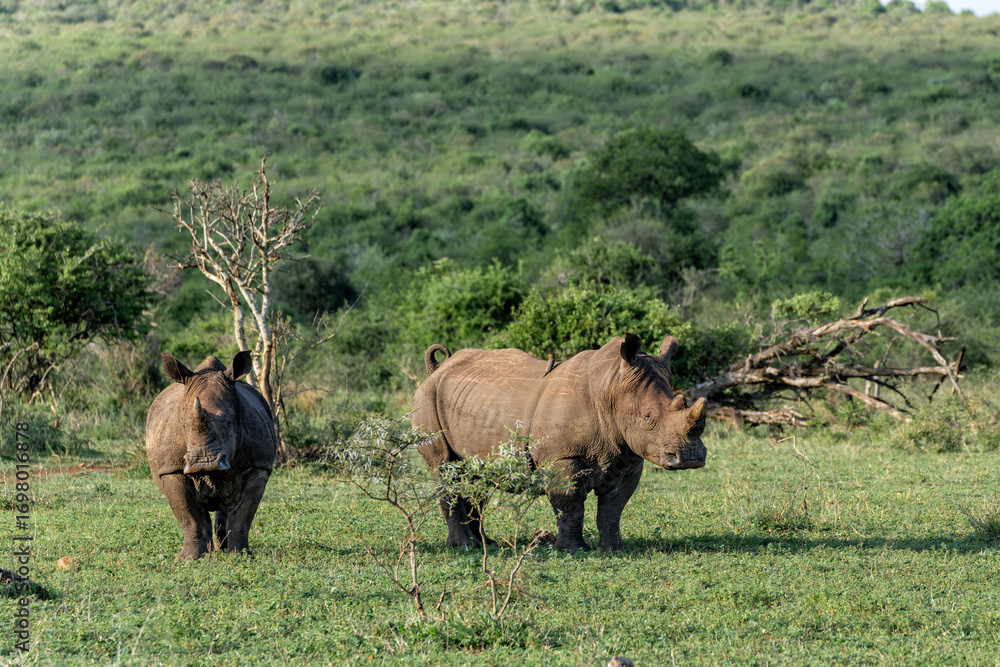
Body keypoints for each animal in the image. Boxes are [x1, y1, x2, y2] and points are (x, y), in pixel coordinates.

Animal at [145, 351, 276, 561]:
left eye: (230, 423)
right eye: (183, 425)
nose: (204, 462)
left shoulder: (258, 466)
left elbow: (242, 515)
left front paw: (240, 556)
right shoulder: (171, 469)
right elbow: (189, 516)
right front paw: (190, 559)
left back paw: (222, 550)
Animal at [412, 333, 708, 552]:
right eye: (648, 417)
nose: (691, 457)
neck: (611, 386)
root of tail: (437, 370)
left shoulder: (629, 455)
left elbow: (614, 507)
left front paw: (614, 550)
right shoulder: (561, 455)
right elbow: (570, 502)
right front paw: (572, 551)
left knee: (477, 476)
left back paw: (487, 544)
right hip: (427, 397)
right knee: (445, 468)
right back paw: (463, 547)